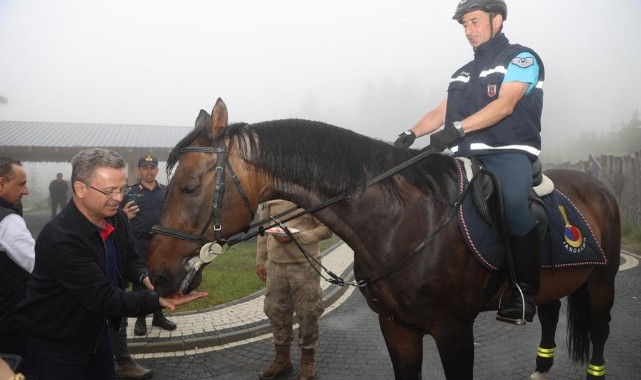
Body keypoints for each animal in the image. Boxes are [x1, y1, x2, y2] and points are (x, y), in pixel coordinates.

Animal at [146, 98, 620, 380]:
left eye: (189, 185)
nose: (156, 276)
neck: (403, 223)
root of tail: (597, 183)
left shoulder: (454, 332)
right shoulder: (397, 327)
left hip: (602, 283)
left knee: (599, 333)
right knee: (550, 314)